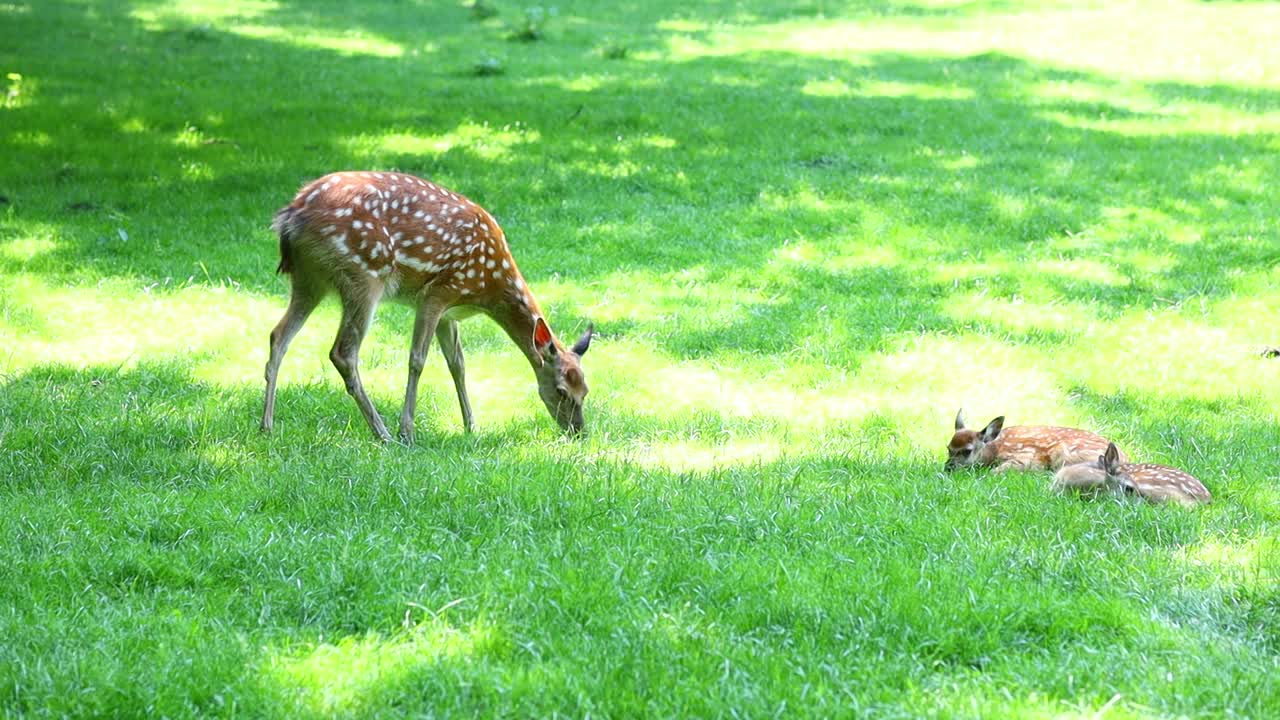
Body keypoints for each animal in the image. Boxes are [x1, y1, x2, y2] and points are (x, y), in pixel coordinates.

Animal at [263, 170, 599, 440]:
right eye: (561, 391)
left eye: (586, 389)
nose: (578, 431)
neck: (488, 289)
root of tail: (291, 216)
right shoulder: (438, 292)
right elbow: (418, 359)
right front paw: (407, 430)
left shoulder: (450, 314)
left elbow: (458, 364)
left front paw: (471, 426)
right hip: (364, 275)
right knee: (343, 352)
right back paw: (383, 433)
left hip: (310, 280)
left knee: (279, 336)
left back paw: (267, 425)